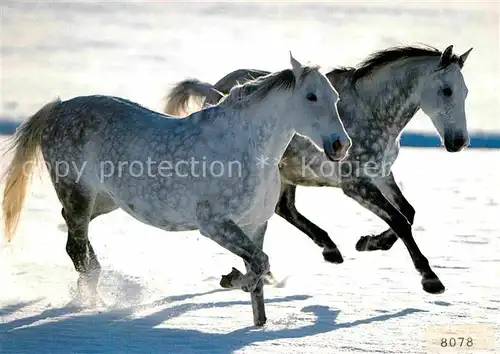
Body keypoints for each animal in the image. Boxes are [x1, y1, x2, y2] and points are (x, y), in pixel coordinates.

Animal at [0, 52, 352, 326]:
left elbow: (259, 272)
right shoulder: (215, 225)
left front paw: (258, 324)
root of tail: (57, 109)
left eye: (335, 98)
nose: (340, 145)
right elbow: (260, 265)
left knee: (75, 236)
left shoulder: (256, 224)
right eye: (310, 97)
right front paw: (230, 279)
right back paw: (95, 303)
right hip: (77, 192)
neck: (246, 148)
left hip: (104, 201)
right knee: (75, 247)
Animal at [164, 43, 472, 294]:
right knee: (281, 211)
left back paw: (327, 250)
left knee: (285, 209)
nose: (459, 142)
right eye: (446, 90)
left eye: (466, 92)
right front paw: (430, 278)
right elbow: (399, 220)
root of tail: (215, 89)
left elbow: (408, 213)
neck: (372, 112)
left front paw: (369, 242)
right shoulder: (356, 184)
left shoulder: (382, 174)